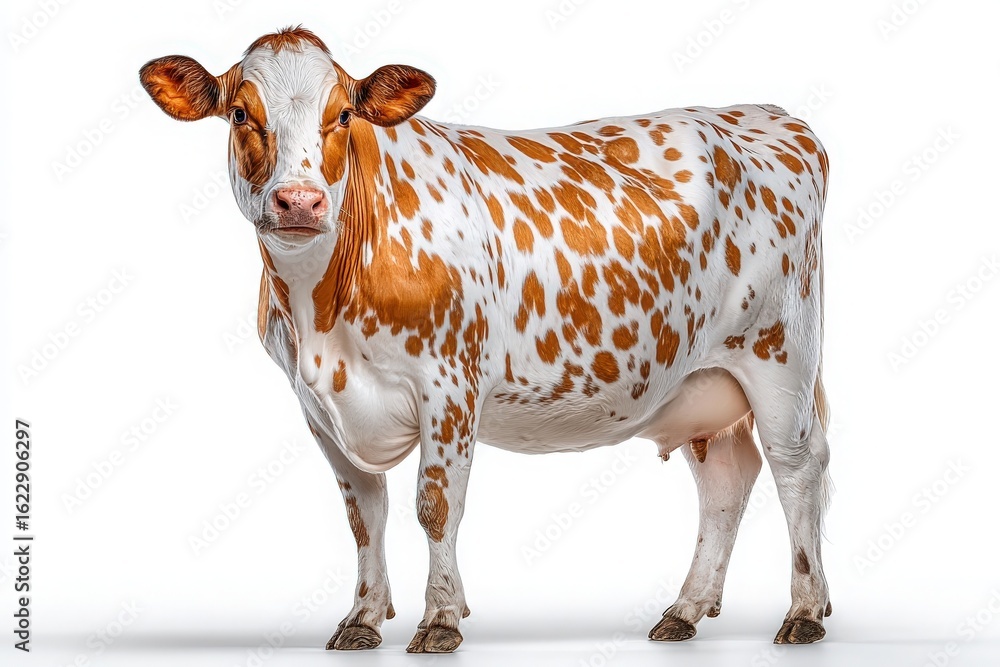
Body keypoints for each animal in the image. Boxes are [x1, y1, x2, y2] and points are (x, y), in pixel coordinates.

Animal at [140, 26, 832, 653]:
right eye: (240, 113)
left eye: (342, 114)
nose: (299, 201)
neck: (324, 320)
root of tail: (770, 115)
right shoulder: (316, 404)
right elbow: (364, 514)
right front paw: (362, 618)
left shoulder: (449, 384)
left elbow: (435, 505)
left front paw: (441, 619)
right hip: (699, 380)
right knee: (726, 483)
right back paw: (686, 610)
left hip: (782, 354)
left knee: (797, 467)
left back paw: (803, 611)